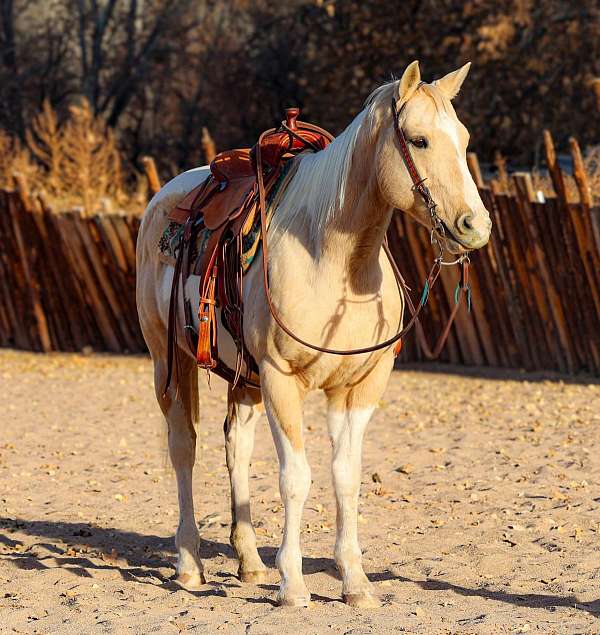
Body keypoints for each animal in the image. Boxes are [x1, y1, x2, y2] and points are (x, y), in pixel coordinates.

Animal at [137, 60, 492, 612]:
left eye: (464, 138)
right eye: (419, 140)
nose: (475, 227)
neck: (334, 259)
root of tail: (166, 196)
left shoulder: (359, 387)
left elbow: (345, 476)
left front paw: (355, 582)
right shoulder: (282, 380)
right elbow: (295, 478)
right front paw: (293, 584)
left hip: (243, 379)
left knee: (236, 446)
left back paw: (249, 562)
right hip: (169, 360)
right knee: (184, 448)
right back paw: (190, 563)